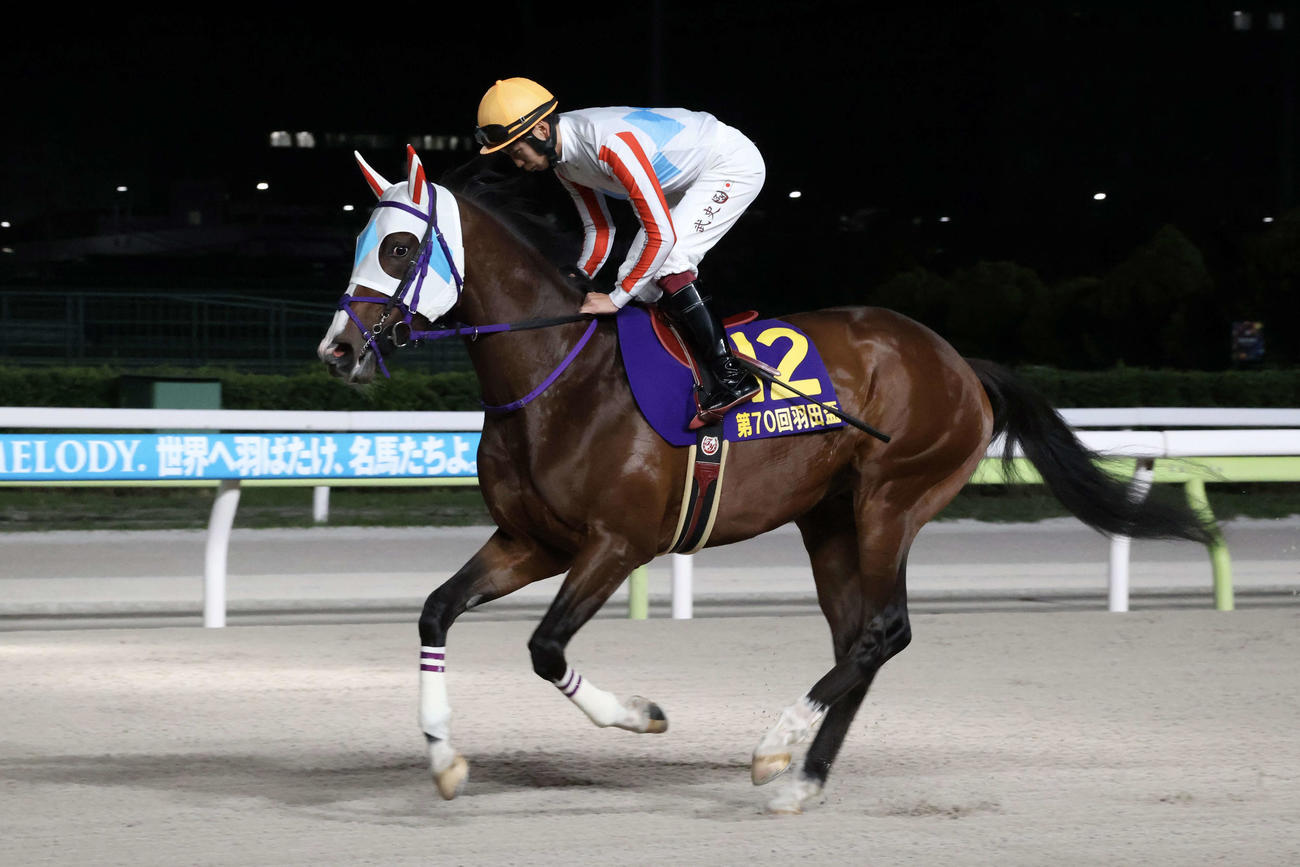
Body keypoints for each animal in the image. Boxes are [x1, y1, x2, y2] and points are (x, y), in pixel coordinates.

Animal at [317, 146, 1211, 814]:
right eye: (363, 242)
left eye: (398, 248)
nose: (337, 349)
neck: (559, 378)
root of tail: (962, 363)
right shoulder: (529, 540)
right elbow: (436, 610)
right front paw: (443, 760)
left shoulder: (617, 544)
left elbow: (544, 648)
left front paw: (643, 715)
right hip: (831, 519)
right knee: (859, 637)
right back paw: (804, 775)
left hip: (893, 499)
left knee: (886, 629)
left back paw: (776, 748)